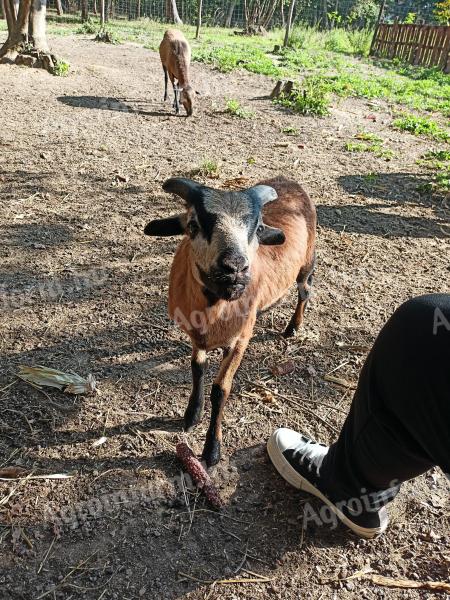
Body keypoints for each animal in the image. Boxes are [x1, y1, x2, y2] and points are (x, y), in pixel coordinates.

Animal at [144, 176, 316, 466]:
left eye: (258, 228)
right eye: (193, 225)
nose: (235, 268)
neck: (214, 309)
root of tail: (288, 180)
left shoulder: (239, 341)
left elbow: (220, 389)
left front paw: (212, 449)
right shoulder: (196, 336)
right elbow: (197, 368)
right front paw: (192, 414)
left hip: (307, 263)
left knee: (305, 291)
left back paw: (293, 327)